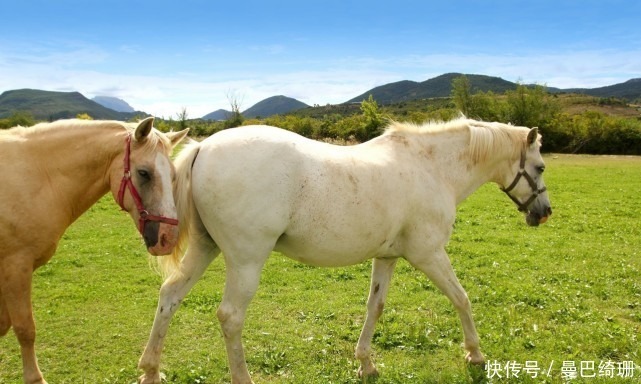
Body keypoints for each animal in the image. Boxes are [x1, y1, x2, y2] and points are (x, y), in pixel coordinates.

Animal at [0, 118, 188, 384]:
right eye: (144, 173)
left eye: (172, 175)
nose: (168, 239)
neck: (39, 176)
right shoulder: (15, 266)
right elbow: (25, 328)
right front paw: (35, 378)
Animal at [139, 118, 552, 384]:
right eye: (540, 166)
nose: (544, 212)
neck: (430, 167)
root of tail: (204, 147)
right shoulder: (430, 255)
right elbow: (461, 298)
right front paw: (475, 353)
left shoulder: (387, 257)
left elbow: (375, 307)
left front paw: (365, 362)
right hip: (246, 261)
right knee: (230, 316)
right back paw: (242, 377)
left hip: (205, 248)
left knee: (170, 297)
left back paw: (150, 370)